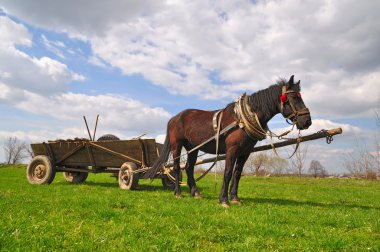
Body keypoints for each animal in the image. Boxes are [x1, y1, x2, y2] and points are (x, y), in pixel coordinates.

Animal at [145, 76, 312, 206]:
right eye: (294, 98)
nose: (307, 121)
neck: (243, 119)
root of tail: (174, 118)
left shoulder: (245, 151)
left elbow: (237, 174)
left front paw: (235, 198)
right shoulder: (232, 149)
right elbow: (227, 172)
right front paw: (224, 200)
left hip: (193, 147)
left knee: (189, 167)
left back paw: (195, 192)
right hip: (177, 145)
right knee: (176, 168)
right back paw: (178, 192)